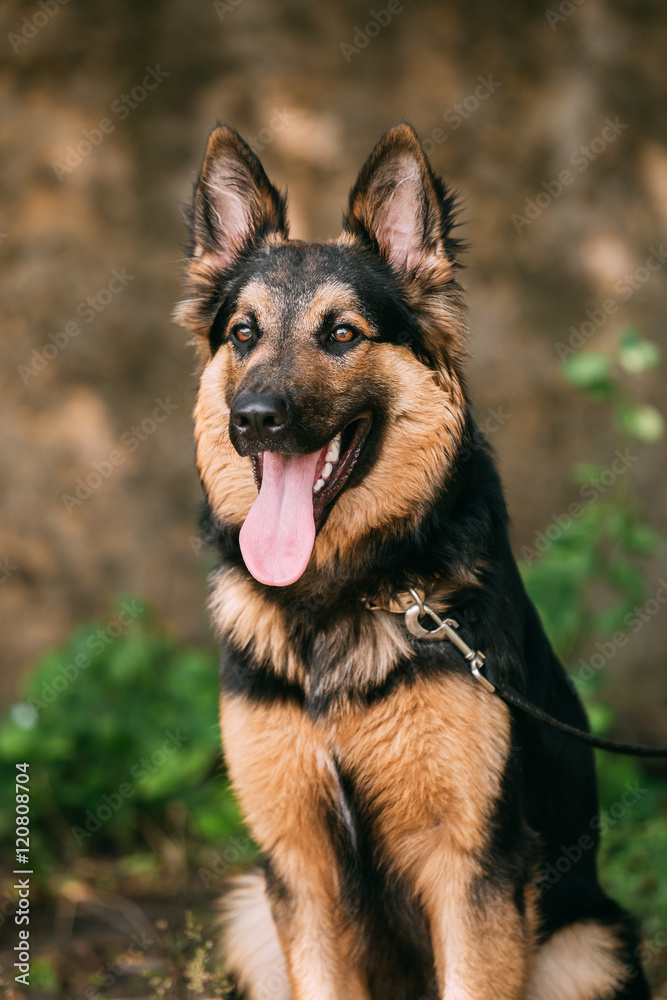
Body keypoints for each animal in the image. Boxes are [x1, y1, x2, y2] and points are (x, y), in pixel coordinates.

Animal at [177, 123, 652, 1000]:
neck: (345, 593)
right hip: (249, 913)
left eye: (341, 333)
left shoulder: (471, 870)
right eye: (243, 334)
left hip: (587, 947)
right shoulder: (298, 869)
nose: (252, 419)